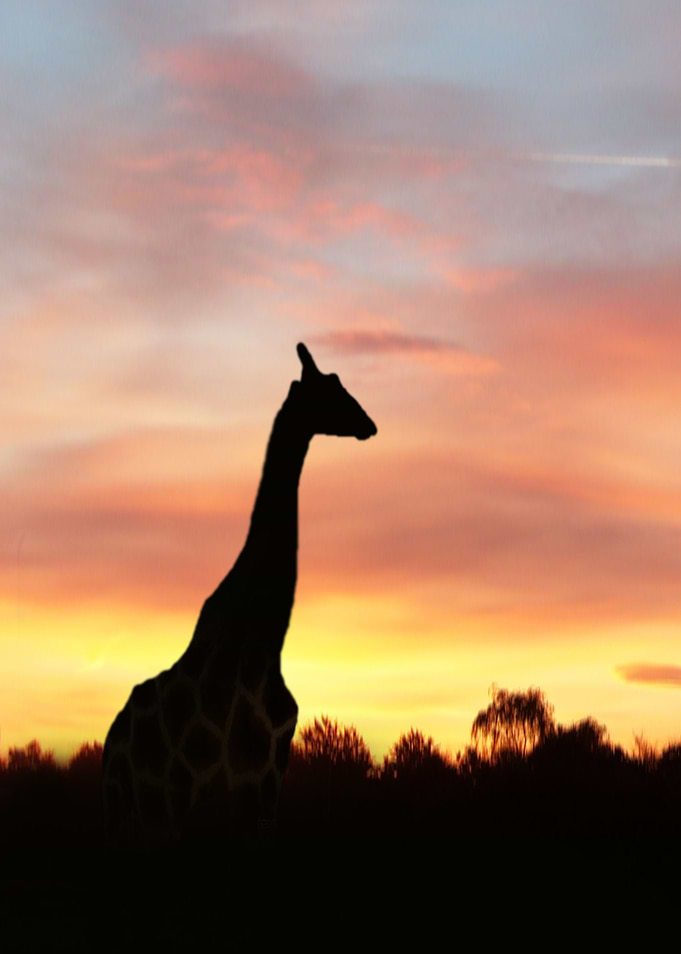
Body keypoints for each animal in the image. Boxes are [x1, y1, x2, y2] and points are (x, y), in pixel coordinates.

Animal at [102, 343, 377, 844]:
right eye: (330, 389)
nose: (369, 424)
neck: (264, 644)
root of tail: (109, 746)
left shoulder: (266, 785)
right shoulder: (217, 791)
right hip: (138, 814)